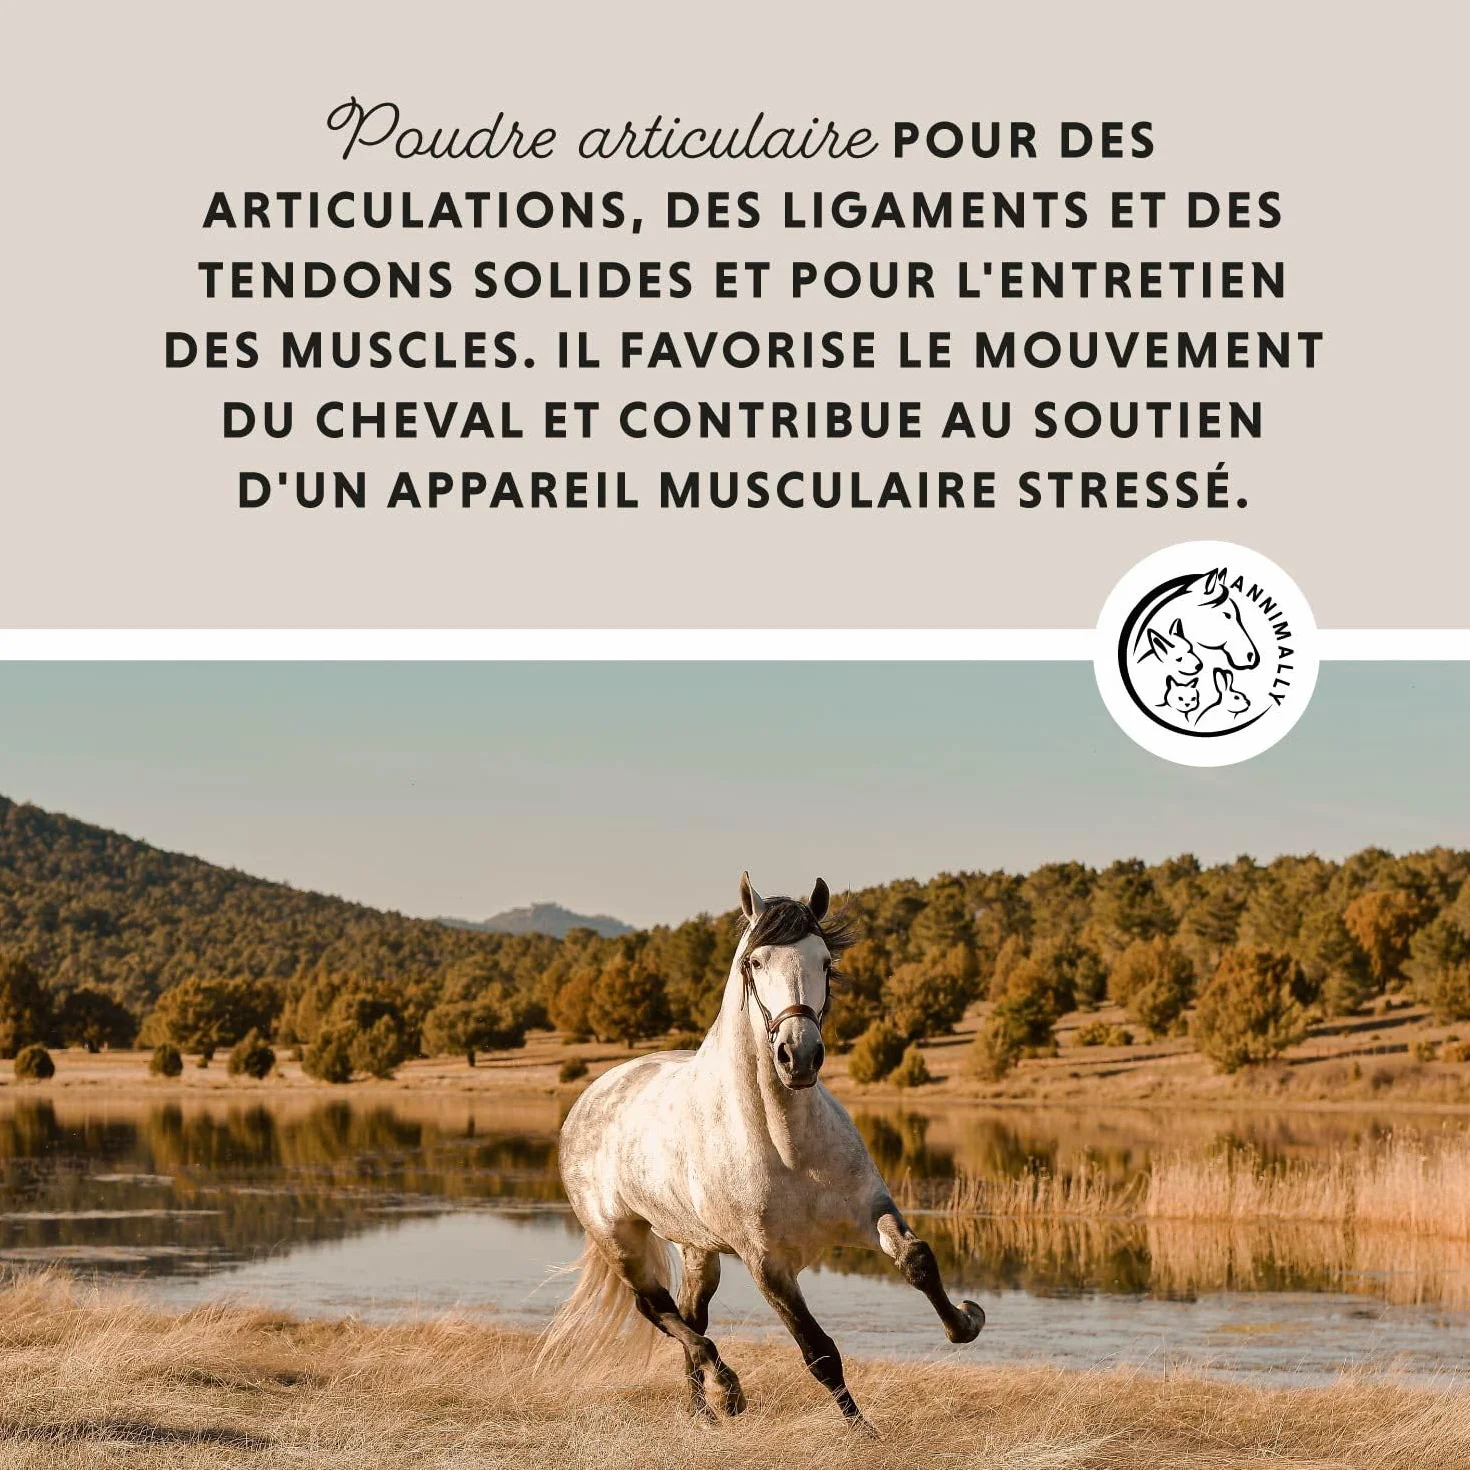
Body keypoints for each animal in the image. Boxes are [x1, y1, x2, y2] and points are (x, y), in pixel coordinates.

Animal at [540, 873, 984, 1429]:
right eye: (755, 962)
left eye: (825, 961)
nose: (799, 1056)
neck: (786, 1145)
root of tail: (590, 1097)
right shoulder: (767, 1265)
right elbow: (820, 1353)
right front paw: (865, 1434)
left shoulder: (868, 1212)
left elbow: (917, 1259)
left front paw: (965, 1321)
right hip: (621, 1241)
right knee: (657, 1310)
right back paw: (727, 1391)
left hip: (698, 1249)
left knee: (689, 1314)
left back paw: (703, 1414)